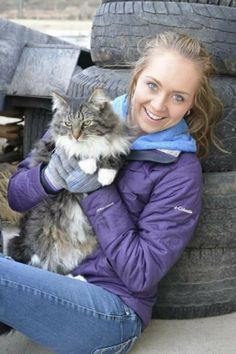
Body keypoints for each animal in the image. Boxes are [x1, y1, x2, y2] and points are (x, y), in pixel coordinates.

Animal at [6, 88, 131, 274]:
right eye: (67, 124)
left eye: (86, 123)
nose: (76, 136)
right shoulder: (54, 146)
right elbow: (75, 151)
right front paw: (88, 164)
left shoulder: (117, 145)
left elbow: (111, 157)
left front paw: (105, 175)